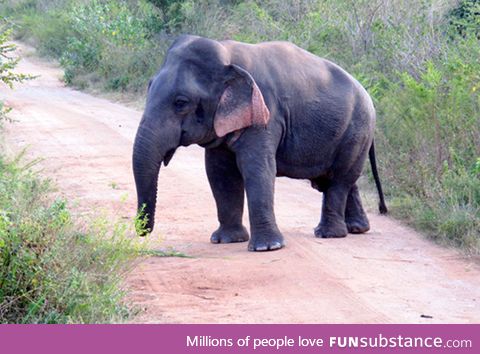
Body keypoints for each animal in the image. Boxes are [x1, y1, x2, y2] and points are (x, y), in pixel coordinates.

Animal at [131, 34, 386, 252]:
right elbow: (219, 172)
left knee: (339, 179)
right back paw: (356, 229)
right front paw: (226, 240)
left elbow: (257, 167)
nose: (143, 232)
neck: (226, 55)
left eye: (181, 102)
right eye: (149, 87)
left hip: (357, 130)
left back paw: (329, 234)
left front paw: (267, 247)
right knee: (337, 180)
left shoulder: (266, 112)